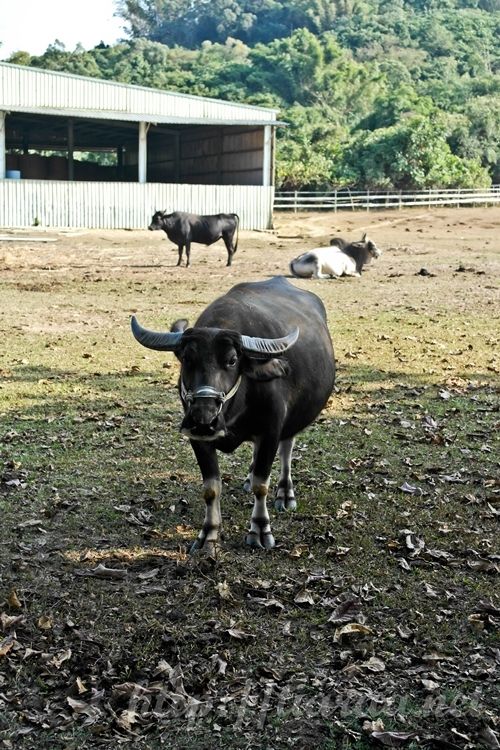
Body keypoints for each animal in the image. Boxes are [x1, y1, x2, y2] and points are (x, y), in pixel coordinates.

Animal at [130, 280, 336, 556]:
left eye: (232, 360)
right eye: (187, 358)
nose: (204, 419)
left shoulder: (271, 431)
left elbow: (262, 484)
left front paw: (260, 530)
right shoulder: (198, 439)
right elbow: (211, 489)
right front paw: (208, 535)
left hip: (291, 424)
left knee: (287, 450)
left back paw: (285, 494)